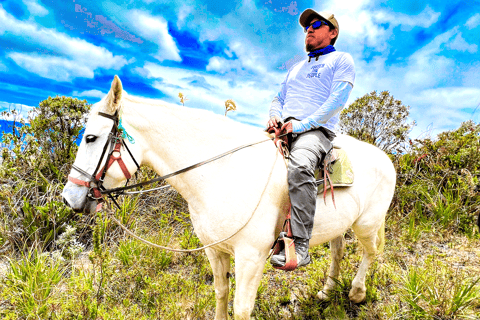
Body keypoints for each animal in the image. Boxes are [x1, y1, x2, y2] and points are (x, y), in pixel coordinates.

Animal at [62, 76, 396, 318]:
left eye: (90, 137)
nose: (69, 197)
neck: (221, 173)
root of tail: (386, 158)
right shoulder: (215, 250)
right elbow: (221, 293)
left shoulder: (250, 258)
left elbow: (242, 308)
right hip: (339, 225)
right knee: (339, 250)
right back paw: (327, 292)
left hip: (367, 224)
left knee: (371, 252)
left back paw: (357, 293)